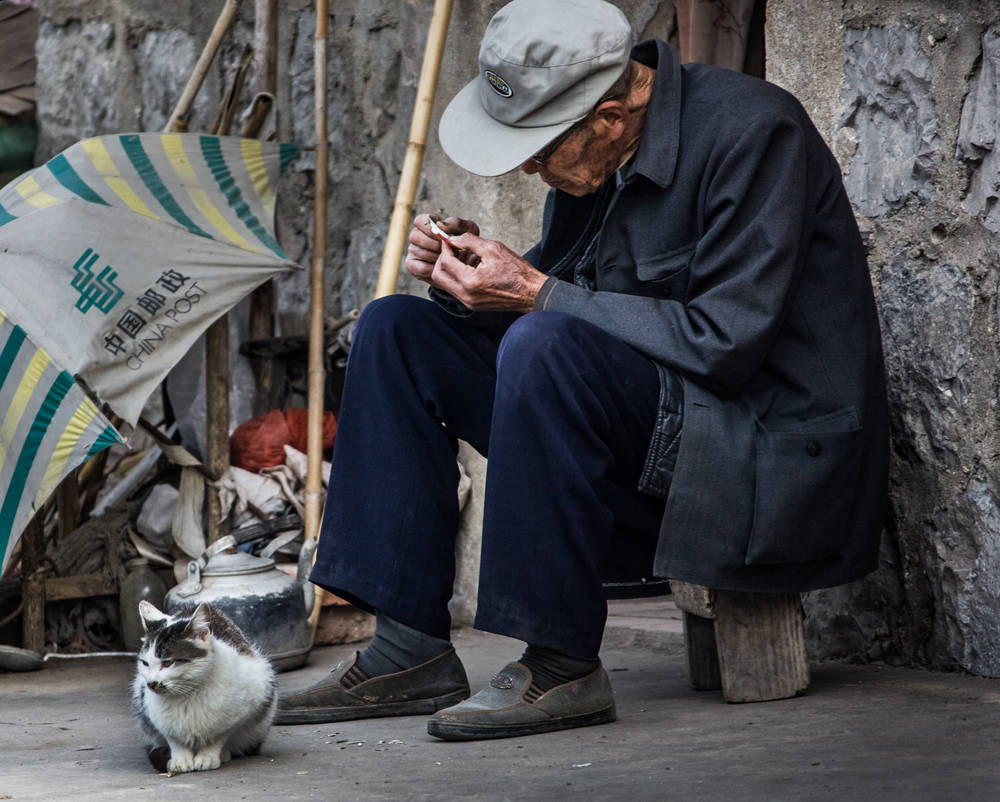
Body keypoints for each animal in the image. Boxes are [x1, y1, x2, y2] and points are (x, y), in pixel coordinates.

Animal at [131, 596, 278, 772]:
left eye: (167, 663)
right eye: (145, 663)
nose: (151, 683)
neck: (187, 697)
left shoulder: (240, 713)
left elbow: (219, 737)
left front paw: (208, 757)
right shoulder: (156, 716)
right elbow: (174, 739)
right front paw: (180, 760)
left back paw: (225, 754)